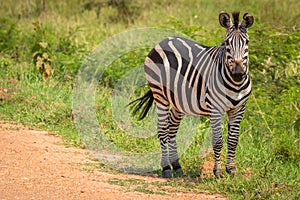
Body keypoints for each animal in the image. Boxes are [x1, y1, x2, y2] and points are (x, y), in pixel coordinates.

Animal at [129, 12, 253, 178]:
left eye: (246, 42)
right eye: (227, 43)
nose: (238, 73)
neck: (235, 84)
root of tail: (163, 41)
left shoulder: (239, 108)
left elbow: (233, 140)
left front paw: (232, 170)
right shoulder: (216, 109)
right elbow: (218, 141)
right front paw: (218, 172)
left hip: (178, 102)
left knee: (171, 129)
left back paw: (177, 166)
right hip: (160, 94)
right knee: (162, 130)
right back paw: (166, 169)